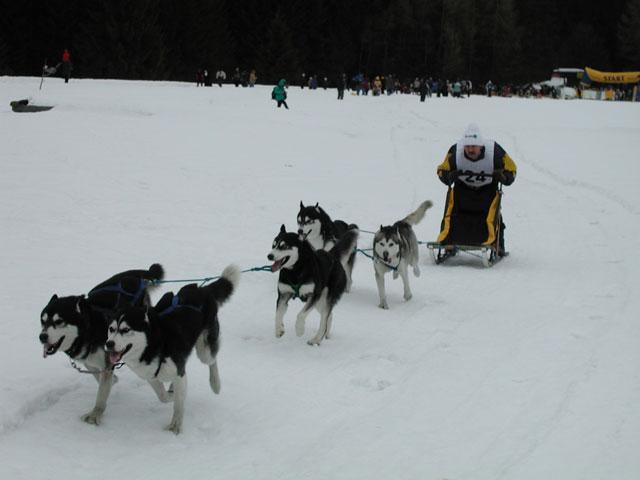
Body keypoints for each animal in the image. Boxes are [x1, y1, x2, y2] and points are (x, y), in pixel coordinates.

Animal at [39, 264, 165, 425]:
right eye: (42, 321)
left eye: (58, 321)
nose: (42, 337)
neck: (89, 330)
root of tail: (133, 275)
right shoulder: (91, 361)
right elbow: (99, 377)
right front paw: (112, 382)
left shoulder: (106, 362)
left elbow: (101, 392)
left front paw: (95, 414)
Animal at [105, 264, 240, 434]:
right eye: (111, 329)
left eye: (125, 330)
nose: (109, 344)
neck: (154, 344)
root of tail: (200, 289)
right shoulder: (151, 376)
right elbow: (163, 396)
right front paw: (171, 394)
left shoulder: (178, 372)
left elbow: (178, 404)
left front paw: (175, 426)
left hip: (204, 350)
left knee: (212, 360)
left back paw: (215, 383)